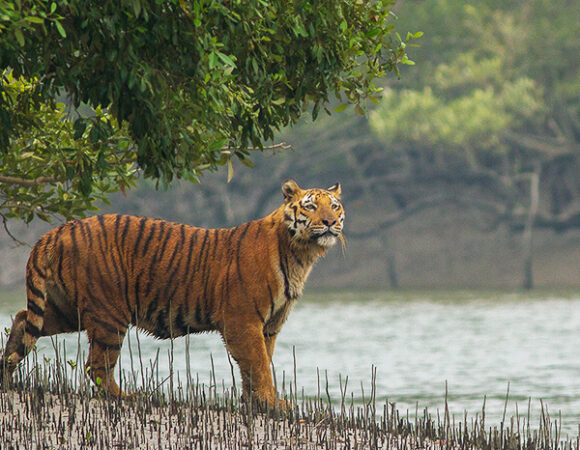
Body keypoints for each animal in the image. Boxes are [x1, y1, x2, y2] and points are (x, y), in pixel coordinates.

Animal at [0, 180, 344, 408]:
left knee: (22, 319)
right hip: (108, 312)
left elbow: (257, 364)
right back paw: (127, 397)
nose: (329, 222)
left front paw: (253, 403)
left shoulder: (269, 326)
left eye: (334, 205)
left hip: (67, 309)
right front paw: (272, 404)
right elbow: (259, 365)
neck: (301, 254)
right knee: (96, 365)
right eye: (311, 205)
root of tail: (57, 230)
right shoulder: (243, 321)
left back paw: (5, 371)